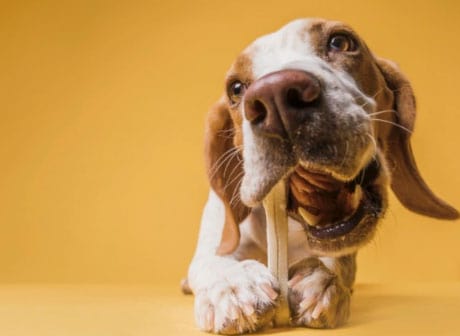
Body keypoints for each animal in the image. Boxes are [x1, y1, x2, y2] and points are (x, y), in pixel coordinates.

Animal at [181, 17, 458, 334]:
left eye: (340, 42)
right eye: (236, 88)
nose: (275, 95)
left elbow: (339, 264)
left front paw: (324, 281)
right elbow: (211, 262)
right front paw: (233, 286)